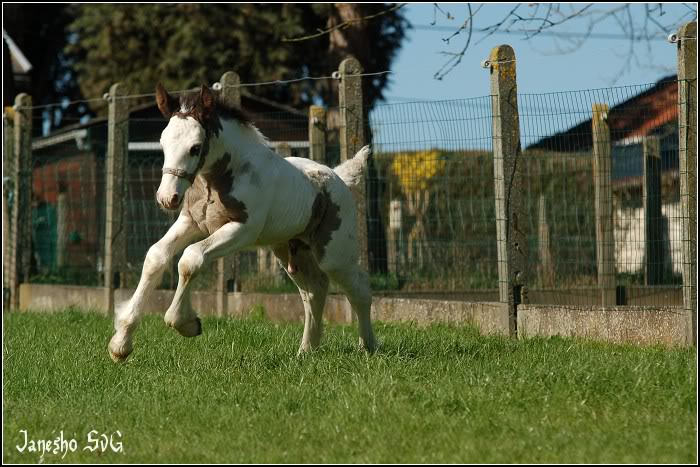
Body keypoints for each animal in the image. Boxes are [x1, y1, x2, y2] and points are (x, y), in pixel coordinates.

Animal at [108, 84, 378, 362]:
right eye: (162, 144)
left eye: (195, 147)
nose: (167, 198)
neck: (219, 179)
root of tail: (339, 177)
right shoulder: (191, 223)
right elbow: (156, 256)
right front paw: (121, 343)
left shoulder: (243, 230)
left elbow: (191, 259)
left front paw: (186, 323)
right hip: (290, 252)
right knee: (314, 290)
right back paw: (306, 351)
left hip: (334, 255)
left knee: (360, 289)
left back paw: (367, 346)